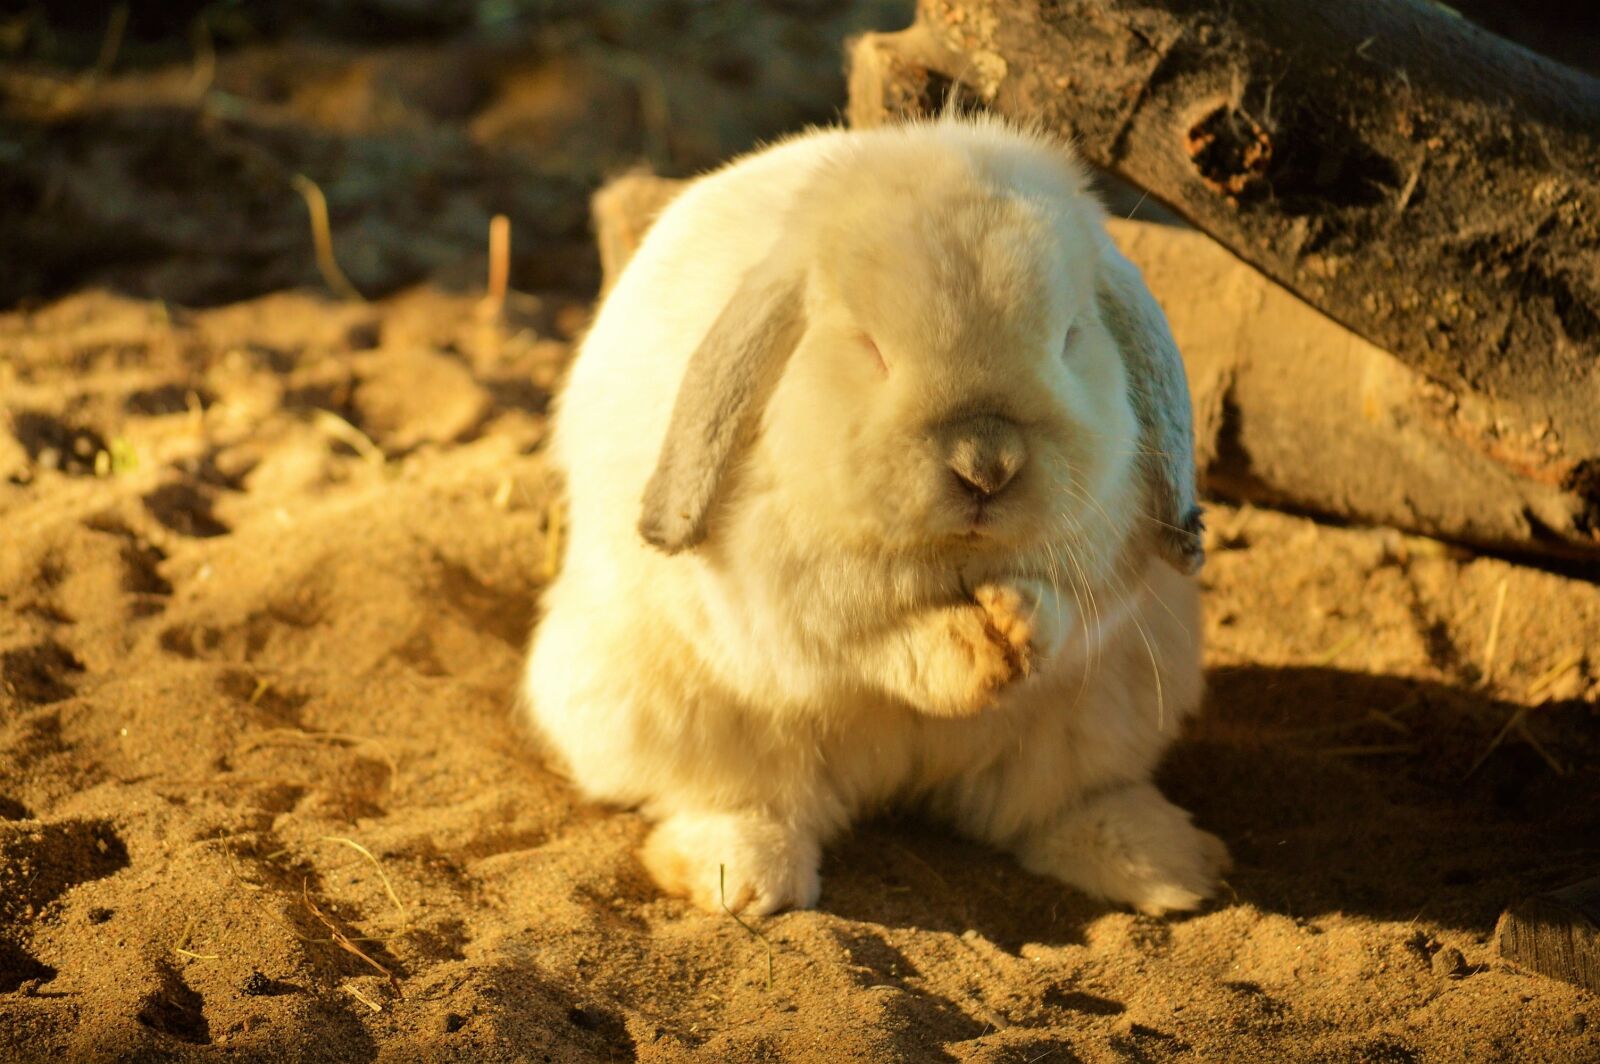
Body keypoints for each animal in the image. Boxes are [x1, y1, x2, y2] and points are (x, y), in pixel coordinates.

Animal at [523, 113, 1228, 917]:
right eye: (870, 348)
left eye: (1072, 338)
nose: (986, 465)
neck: (956, 556)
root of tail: (896, 779)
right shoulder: (789, 600)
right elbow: (870, 637)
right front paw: (975, 652)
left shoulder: (1105, 572)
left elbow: (1069, 614)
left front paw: (1016, 619)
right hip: (665, 714)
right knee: (745, 800)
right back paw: (741, 878)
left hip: (1109, 711)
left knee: (1046, 805)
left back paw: (1169, 869)